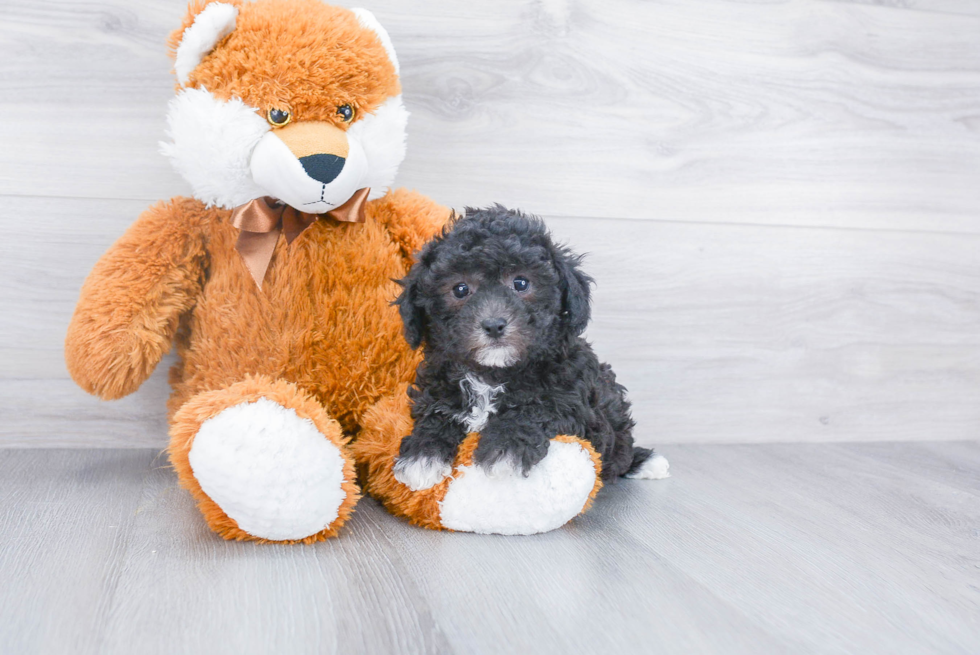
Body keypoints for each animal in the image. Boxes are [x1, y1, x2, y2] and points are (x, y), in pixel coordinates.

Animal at [392, 208, 668, 490]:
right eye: (460, 289)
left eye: (521, 283)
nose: (494, 325)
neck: (492, 375)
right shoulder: (437, 390)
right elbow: (436, 414)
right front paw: (422, 455)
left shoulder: (576, 404)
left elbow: (536, 409)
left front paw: (505, 449)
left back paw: (644, 461)